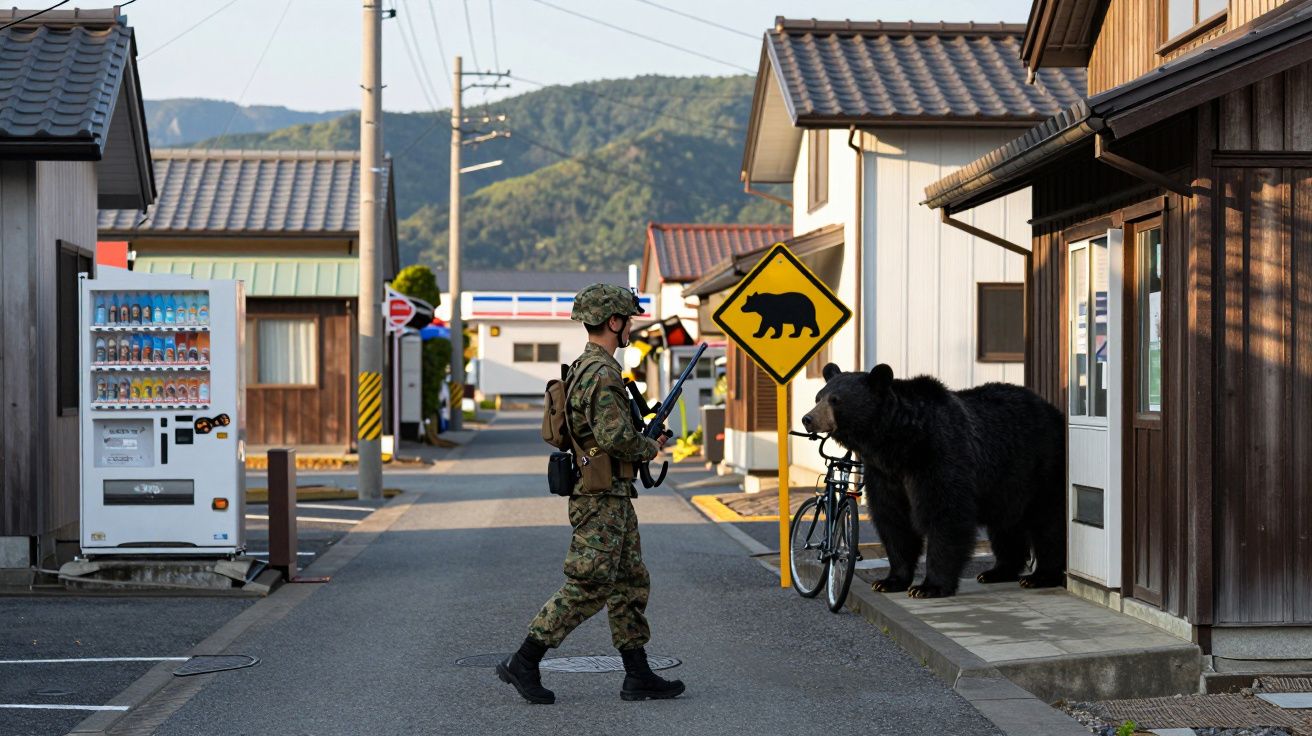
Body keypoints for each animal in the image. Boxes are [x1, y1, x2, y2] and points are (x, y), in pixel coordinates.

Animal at [800, 363, 1066, 599]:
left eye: (836, 399)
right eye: (818, 397)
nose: (807, 419)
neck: (898, 444)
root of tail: (1054, 410)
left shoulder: (938, 457)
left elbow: (944, 514)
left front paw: (928, 587)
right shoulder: (885, 475)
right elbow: (893, 520)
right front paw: (889, 581)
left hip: (1041, 466)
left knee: (1048, 522)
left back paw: (1039, 576)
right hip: (1007, 483)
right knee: (1006, 526)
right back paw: (997, 572)